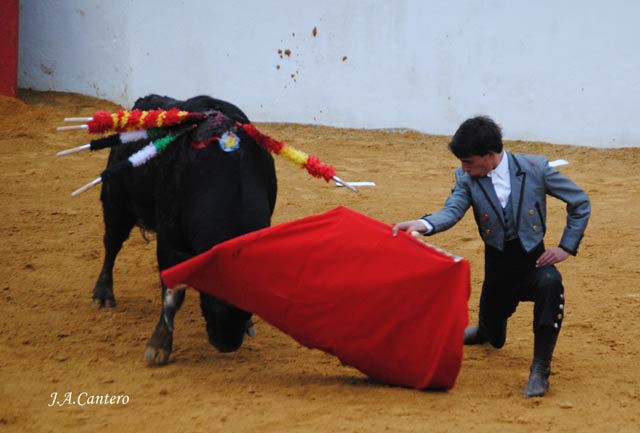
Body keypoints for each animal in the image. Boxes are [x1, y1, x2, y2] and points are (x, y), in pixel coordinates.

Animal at [91, 94, 276, 364]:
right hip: (116, 203)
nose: (227, 344)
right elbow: (173, 292)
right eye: (211, 290)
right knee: (111, 245)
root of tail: (143, 102)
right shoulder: (170, 240)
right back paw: (102, 295)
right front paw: (159, 346)